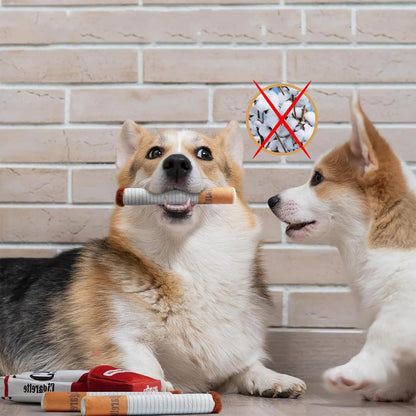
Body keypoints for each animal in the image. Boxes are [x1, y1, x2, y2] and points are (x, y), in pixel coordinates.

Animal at [268, 99, 416, 402]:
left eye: (317, 178)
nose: (270, 200)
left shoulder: (404, 303)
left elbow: (381, 334)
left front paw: (352, 372)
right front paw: (394, 389)